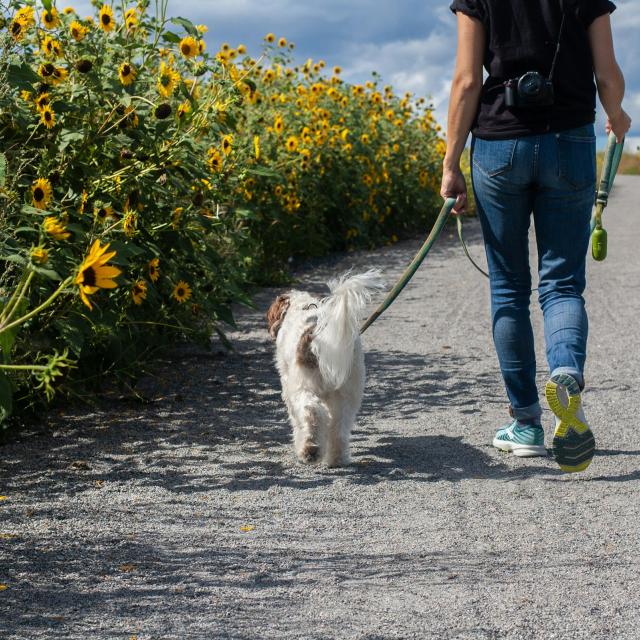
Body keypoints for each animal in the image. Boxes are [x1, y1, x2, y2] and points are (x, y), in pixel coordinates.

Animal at [266, 268, 384, 468]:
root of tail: (317, 334)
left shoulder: (289, 388)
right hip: (348, 391)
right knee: (339, 427)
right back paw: (337, 458)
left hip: (304, 387)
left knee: (312, 412)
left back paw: (309, 450)